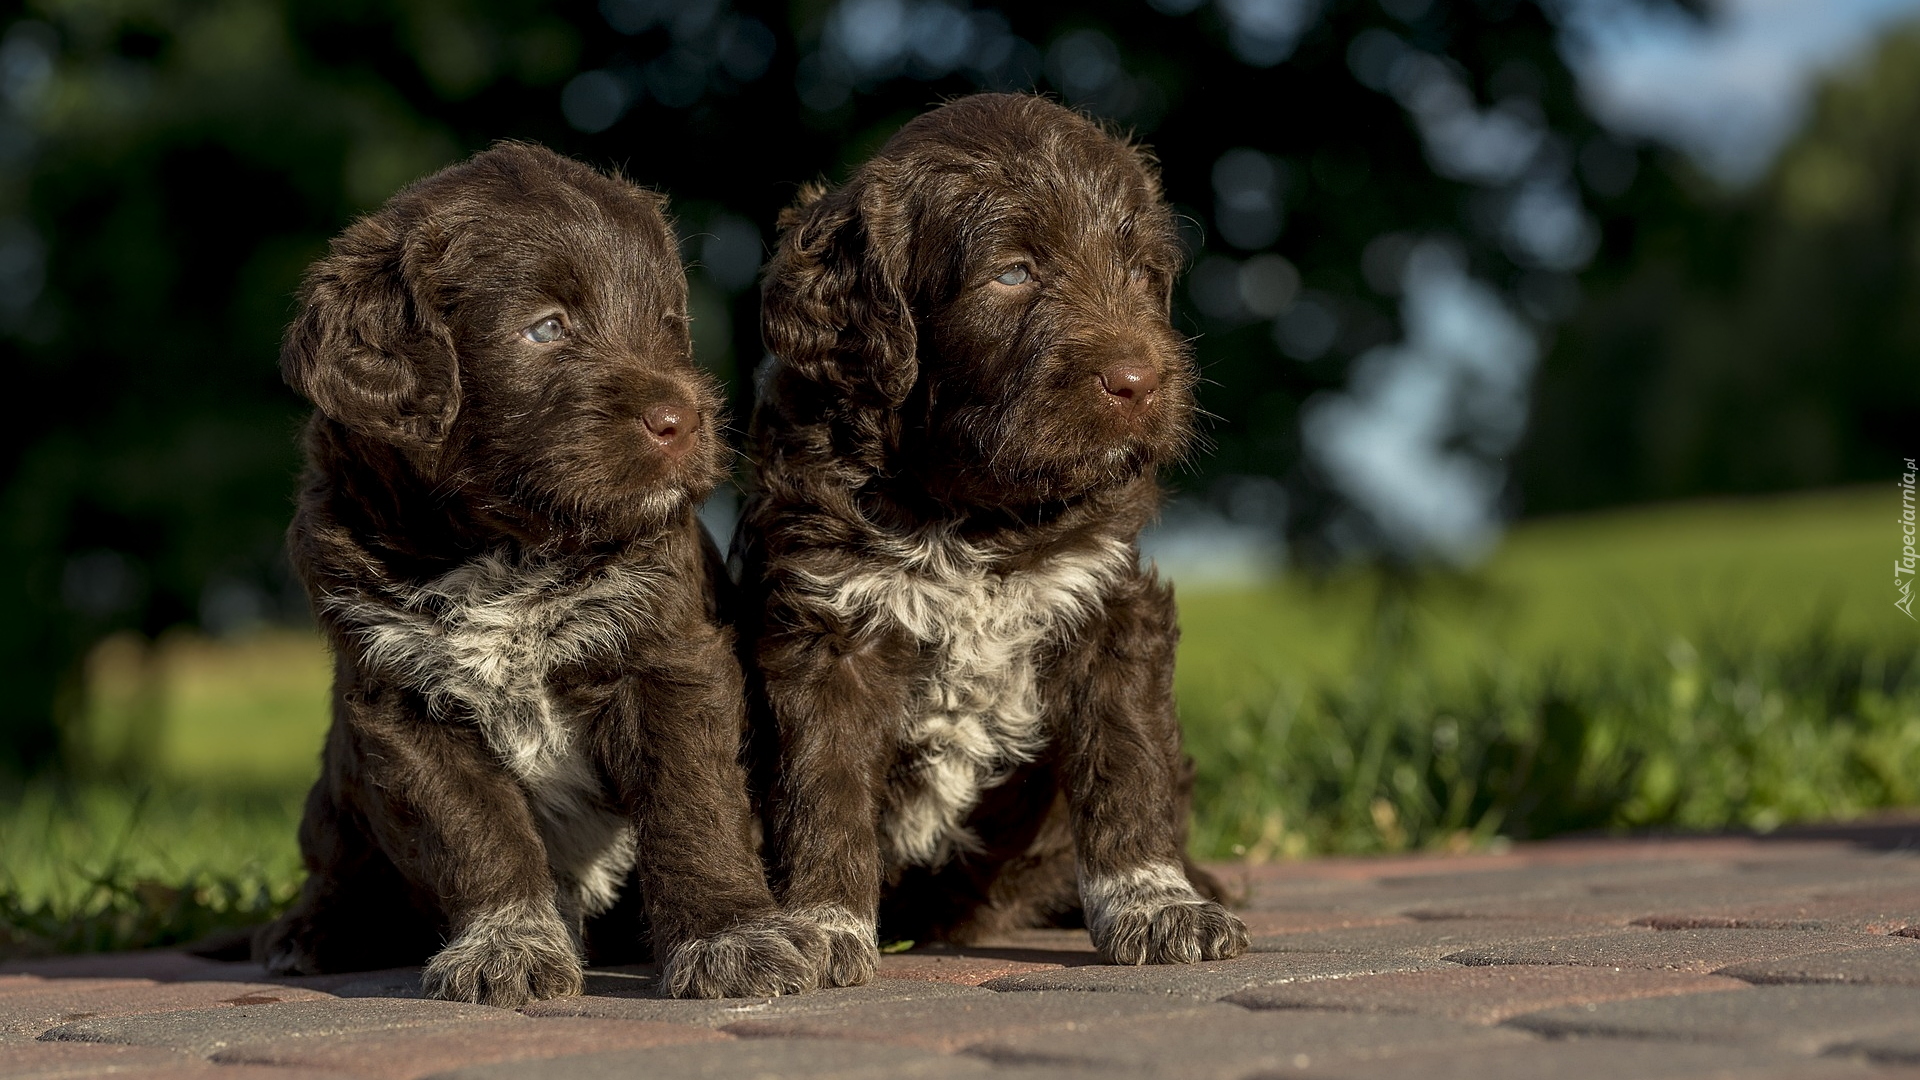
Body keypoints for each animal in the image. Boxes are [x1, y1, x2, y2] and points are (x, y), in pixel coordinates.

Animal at [255, 141, 825, 999]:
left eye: (667, 325)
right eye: (546, 328)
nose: (683, 421)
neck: (504, 554)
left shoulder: (670, 659)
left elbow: (693, 806)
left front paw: (732, 938)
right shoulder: (401, 703)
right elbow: (476, 832)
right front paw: (510, 945)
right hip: (336, 788)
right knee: (337, 867)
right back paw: (308, 931)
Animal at [729, 94, 1244, 983]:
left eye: (1141, 272)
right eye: (1013, 274)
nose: (1141, 383)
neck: (970, 517)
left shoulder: (1108, 604)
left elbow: (1127, 764)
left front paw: (1158, 905)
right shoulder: (830, 626)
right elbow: (823, 786)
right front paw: (823, 923)